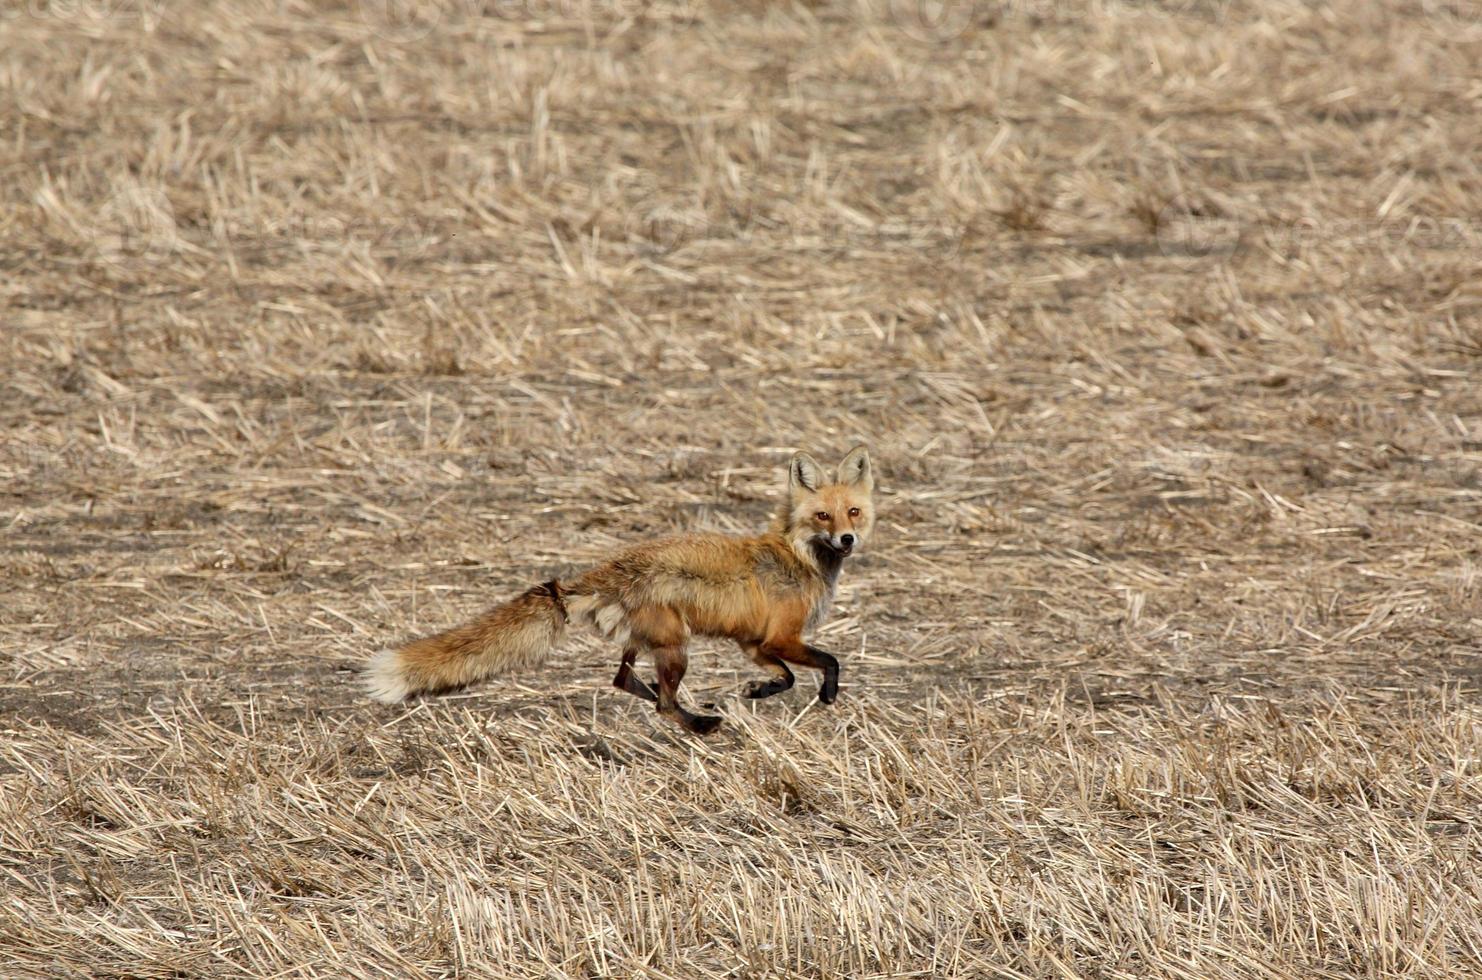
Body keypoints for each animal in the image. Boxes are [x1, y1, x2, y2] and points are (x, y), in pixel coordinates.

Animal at [369, 447, 871, 729]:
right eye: (822, 516)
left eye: (854, 512)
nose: (848, 540)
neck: (798, 557)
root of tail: (595, 575)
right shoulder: (781, 637)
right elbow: (827, 662)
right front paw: (827, 694)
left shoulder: (754, 643)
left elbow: (785, 677)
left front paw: (759, 690)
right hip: (676, 647)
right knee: (663, 705)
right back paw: (702, 725)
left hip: (649, 642)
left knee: (625, 679)